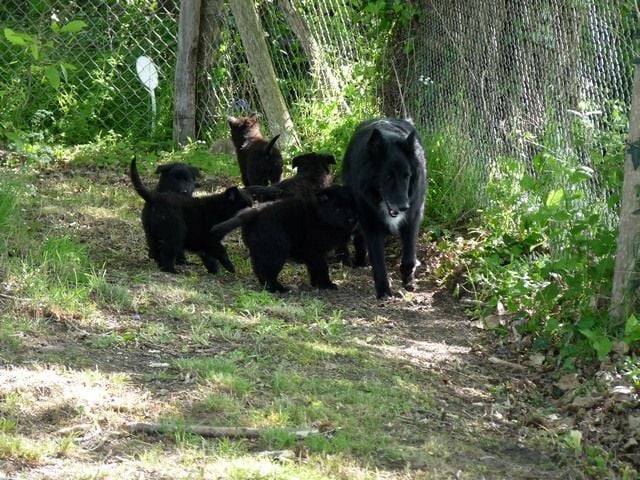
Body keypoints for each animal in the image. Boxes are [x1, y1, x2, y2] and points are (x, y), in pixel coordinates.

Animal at [211, 186, 358, 292]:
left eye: (352, 207)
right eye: (338, 209)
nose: (352, 220)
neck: (320, 217)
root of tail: (251, 213)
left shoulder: (313, 254)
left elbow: (315, 268)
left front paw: (317, 284)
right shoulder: (315, 251)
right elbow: (322, 268)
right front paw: (327, 284)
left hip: (261, 250)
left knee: (259, 270)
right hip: (276, 250)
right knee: (268, 272)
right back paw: (278, 289)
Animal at [342, 118, 428, 298]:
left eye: (407, 176)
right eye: (388, 176)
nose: (403, 206)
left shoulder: (412, 219)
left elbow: (409, 256)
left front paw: (408, 279)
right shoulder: (370, 222)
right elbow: (378, 259)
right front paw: (383, 291)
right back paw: (360, 259)